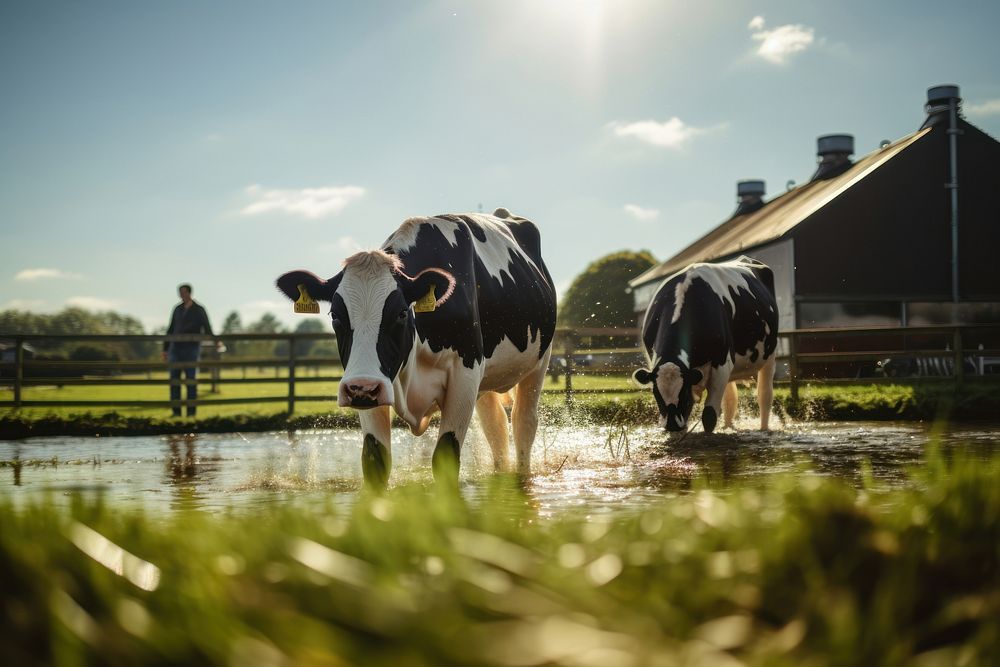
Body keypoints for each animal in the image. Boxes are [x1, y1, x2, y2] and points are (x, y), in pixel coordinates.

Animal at [276, 207, 556, 486]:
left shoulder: (464, 375)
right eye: (335, 315)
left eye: (401, 313)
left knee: (523, 423)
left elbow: (445, 456)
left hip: (539, 364)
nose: (362, 387)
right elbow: (374, 460)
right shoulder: (377, 387)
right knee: (495, 427)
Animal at [632, 254, 780, 434]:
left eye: (683, 393)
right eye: (656, 393)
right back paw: (727, 426)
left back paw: (764, 428)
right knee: (730, 398)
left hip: (769, 355)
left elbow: (709, 416)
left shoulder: (721, 363)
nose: (672, 425)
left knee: (764, 395)